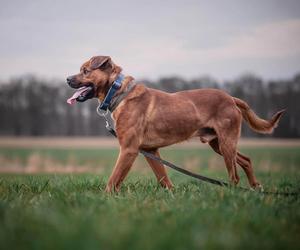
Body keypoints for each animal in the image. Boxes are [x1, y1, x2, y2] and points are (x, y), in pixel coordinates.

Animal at [67, 55, 284, 192]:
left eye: (85, 71)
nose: (67, 78)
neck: (118, 91)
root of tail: (231, 98)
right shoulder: (150, 150)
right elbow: (163, 178)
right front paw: (171, 195)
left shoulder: (128, 149)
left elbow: (113, 180)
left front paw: (105, 198)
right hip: (218, 144)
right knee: (246, 160)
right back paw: (255, 187)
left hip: (226, 142)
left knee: (234, 174)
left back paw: (232, 193)